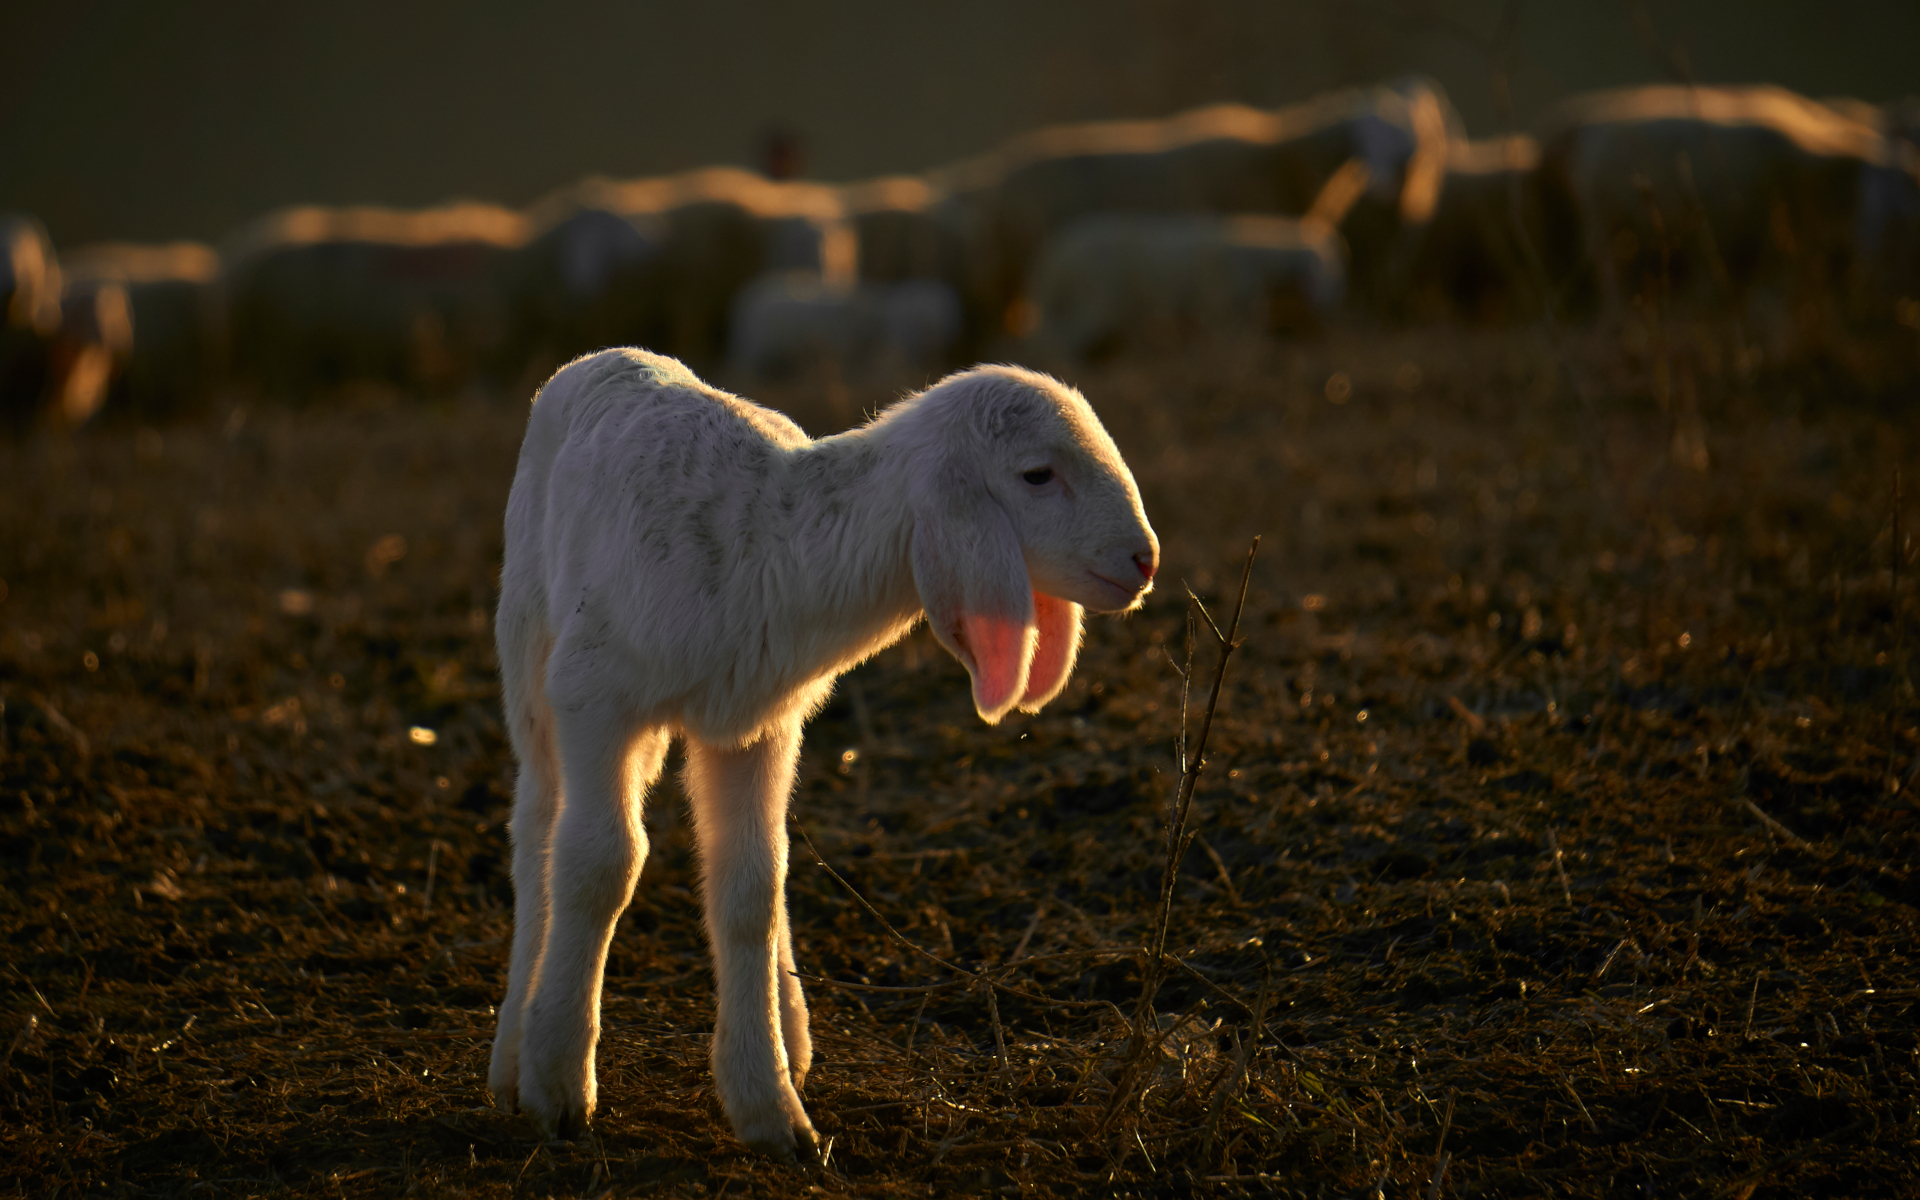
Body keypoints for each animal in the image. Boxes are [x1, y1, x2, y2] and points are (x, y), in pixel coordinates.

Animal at [487, 348, 1159, 1157]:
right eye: (1037, 475)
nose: (1145, 560)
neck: (771, 537)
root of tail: (610, 355)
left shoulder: (759, 726)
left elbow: (752, 886)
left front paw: (769, 1105)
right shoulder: (595, 697)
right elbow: (598, 865)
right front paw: (559, 1083)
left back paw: (790, 1028)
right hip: (531, 652)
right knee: (539, 833)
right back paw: (511, 1051)